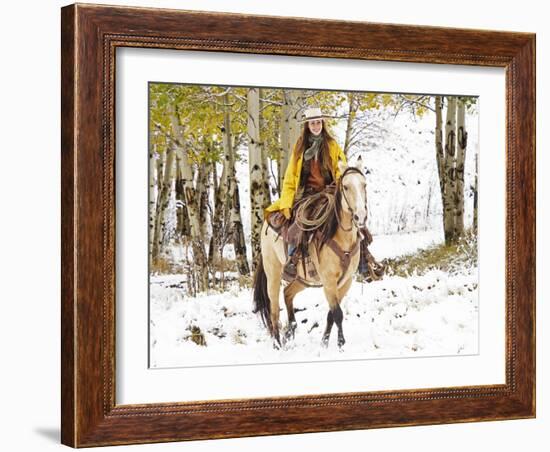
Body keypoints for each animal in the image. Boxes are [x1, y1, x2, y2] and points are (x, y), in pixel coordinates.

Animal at [256, 168, 370, 348]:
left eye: (364, 185)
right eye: (345, 187)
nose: (361, 216)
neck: (342, 238)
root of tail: (267, 222)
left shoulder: (346, 282)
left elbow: (331, 314)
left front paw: (324, 343)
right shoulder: (329, 281)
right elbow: (338, 313)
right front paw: (341, 344)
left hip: (302, 279)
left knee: (287, 293)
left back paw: (290, 330)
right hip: (273, 272)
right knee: (273, 308)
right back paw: (277, 343)